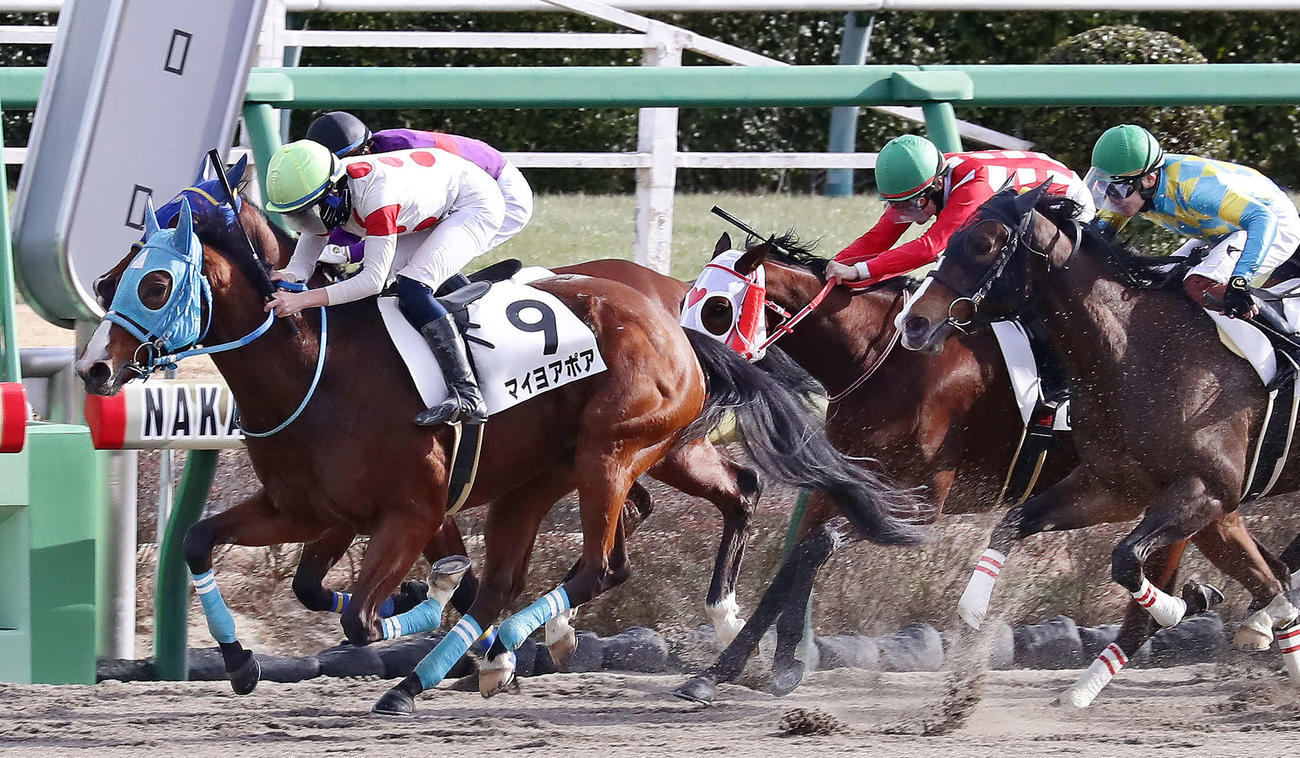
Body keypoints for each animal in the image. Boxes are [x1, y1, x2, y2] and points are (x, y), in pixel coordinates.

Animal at [75, 194, 923, 715]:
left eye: (155, 285)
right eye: (111, 279)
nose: (93, 370)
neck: (316, 365)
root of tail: (675, 321)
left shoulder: (409, 514)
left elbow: (363, 614)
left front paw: (435, 623)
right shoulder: (309, 510)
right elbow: (212, 546)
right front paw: (244, 664)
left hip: (616, 452)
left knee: (602, 564)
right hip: (562, 475)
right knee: (580, 557)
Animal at [897, 182, 1300, 705]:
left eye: (982, 244)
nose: (913, 323)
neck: (1135, 354)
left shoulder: (1205, 491)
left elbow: (1126, 561)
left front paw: (1180, 606)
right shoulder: (1120, 488)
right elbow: (1012, 524)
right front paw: (971, 611)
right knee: (1270, 577)